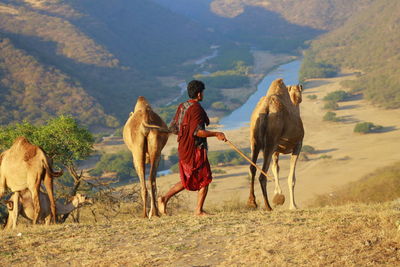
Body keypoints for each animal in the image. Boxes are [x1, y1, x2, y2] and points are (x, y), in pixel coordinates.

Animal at [247, 79, 304, 211]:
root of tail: (265, 110)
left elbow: (275, 168)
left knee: (252, 168)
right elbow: (291, 178)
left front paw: (278, 196)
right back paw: (268, 206)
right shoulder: (298, 145)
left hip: (255, 141)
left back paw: (252, 203)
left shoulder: (276, 150)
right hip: (270, 141)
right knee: (262, 175)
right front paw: (293, 206)